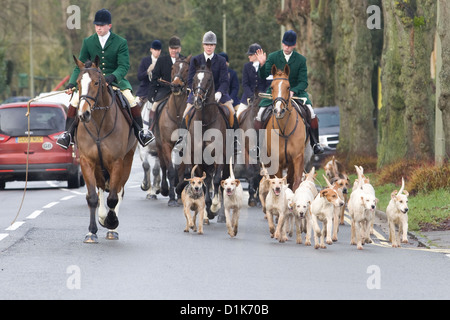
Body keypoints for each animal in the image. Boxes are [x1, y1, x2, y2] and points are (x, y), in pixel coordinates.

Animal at [72, 56, 137, 244]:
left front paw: (112, 222)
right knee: (101, 189)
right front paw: (92, 231)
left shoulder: (117, 162)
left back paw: (111, 226)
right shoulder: (87, 161)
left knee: (119, 191)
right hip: (99, 167)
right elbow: (93, 197)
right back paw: (101, 217)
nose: (83, 114)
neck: (99, 123)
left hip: (127, 161)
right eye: (78, 82)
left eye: (96, 82)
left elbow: (114, 198)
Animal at [266, 63, 312, 191]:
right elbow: (277, 181)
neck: (284, 130)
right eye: (272, 87)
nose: (278, 111)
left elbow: (296, 182)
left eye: (288, 87)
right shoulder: (276, 161)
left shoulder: (297, 158)